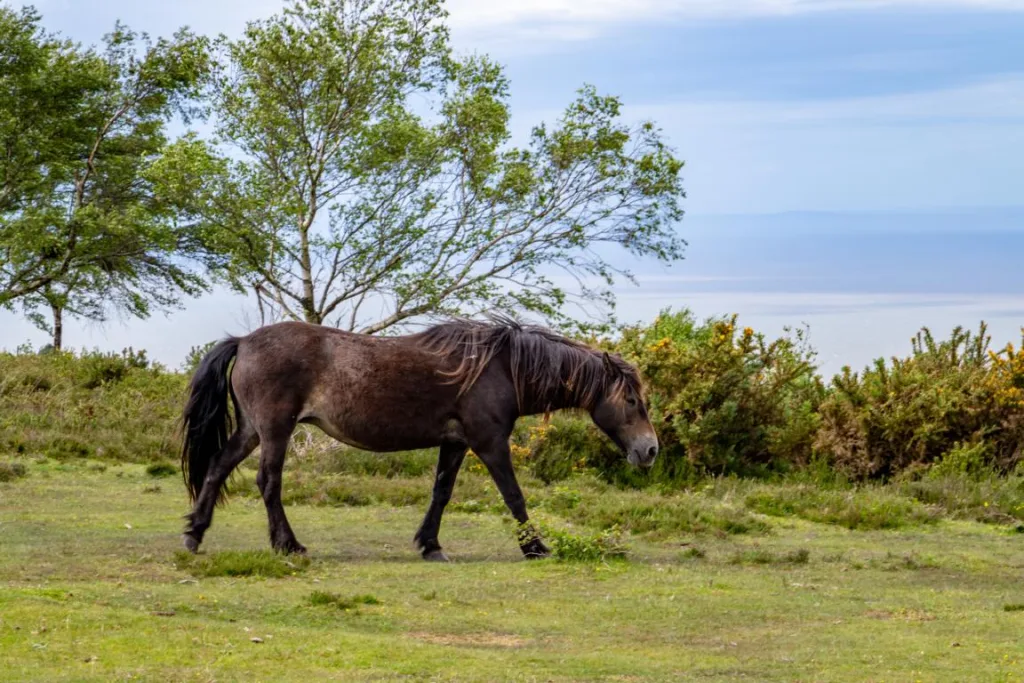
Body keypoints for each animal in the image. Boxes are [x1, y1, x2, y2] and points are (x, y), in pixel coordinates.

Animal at [180, 315, 659, 561]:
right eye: (632, 400)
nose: (651, 449)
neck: (500, 367)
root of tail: (244, 341)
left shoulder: (457, 442)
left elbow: (441, 493)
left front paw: (430, 545)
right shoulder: (489, 442)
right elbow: (514, 496)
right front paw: (536, 547)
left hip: (251, 430)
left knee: (218, 468)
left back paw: (194, 535)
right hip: (275, 430)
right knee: (269, 483)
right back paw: (288, 545)